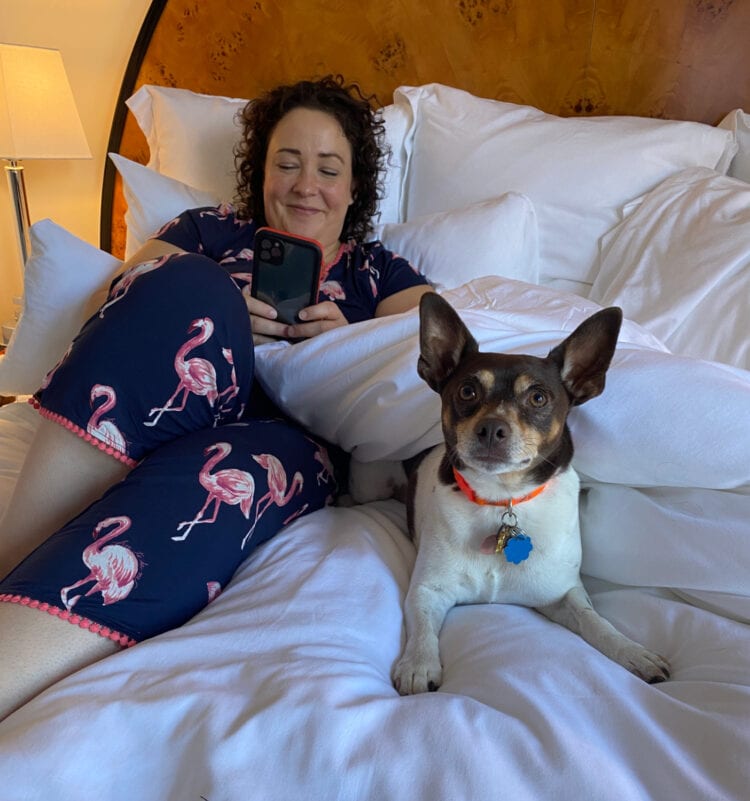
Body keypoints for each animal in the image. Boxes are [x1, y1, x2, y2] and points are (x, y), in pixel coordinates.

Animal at [352, 294, 668, 692]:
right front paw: (419, 665)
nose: (491, 428)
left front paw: (632, 651)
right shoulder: (428, 590)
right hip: (369, 483)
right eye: (467, 391)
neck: (501, 498)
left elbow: (595, 621)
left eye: (538, 398)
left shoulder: (563, 594)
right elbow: (422, 627)